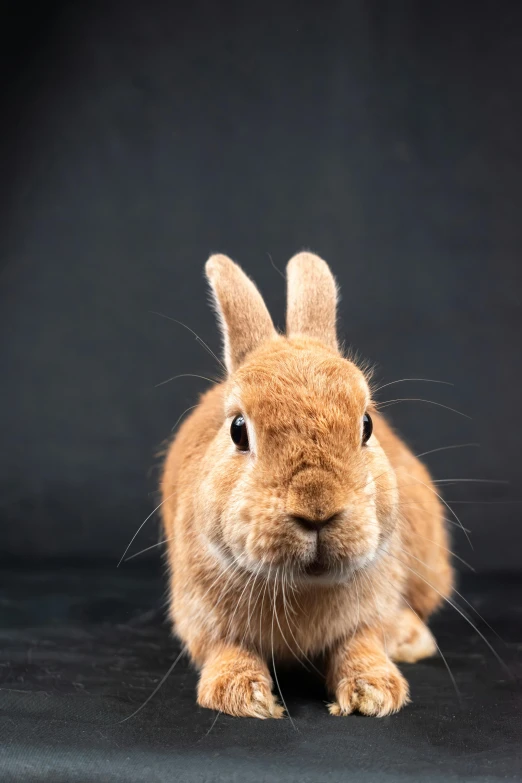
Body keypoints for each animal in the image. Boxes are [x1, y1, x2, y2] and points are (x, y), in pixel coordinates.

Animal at [158, 254, 450, 720]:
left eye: (366, 425)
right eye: (238, 430)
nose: (318, 509)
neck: (302, 586)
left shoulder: (370, 614)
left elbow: (362, 642)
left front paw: (373, 691)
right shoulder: (200, 618)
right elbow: (225, 649)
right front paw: (245, 696)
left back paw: (411, 639)